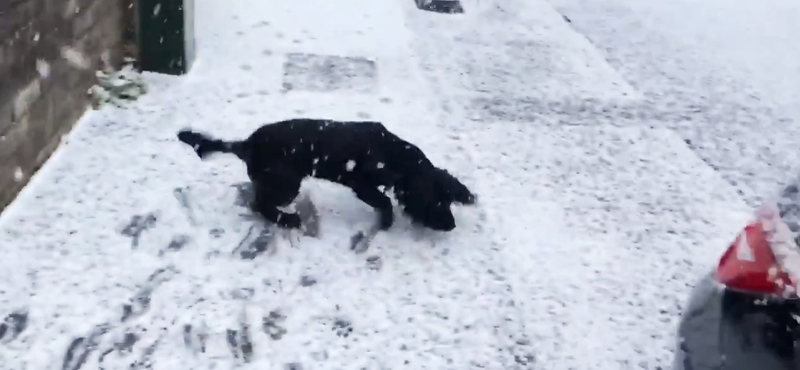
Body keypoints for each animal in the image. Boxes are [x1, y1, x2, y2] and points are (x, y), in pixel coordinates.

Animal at [177, 120, 476, 231]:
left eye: (448, 202)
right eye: (436, 203)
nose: (451, 225)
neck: (394, 155)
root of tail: (248, 143)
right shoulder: (360, 184)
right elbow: (385, 201)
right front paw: (386, 222)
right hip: (287, 182)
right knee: (260, 204)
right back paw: (288, 220)